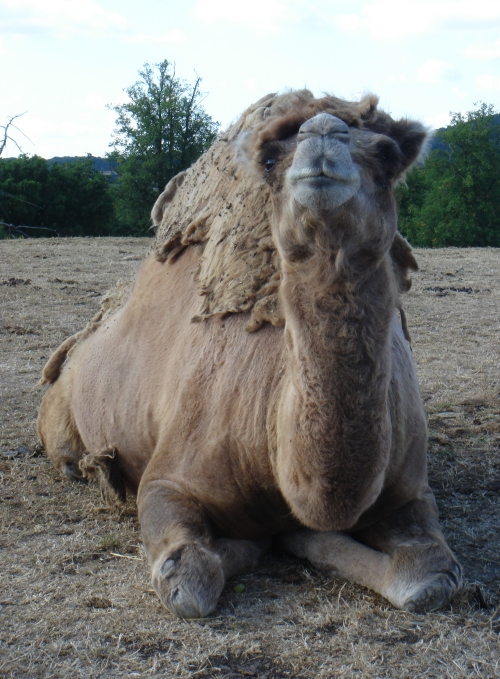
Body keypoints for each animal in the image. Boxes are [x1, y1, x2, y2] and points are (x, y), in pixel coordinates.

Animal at [38, 91, 460, 620]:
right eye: (271, 159)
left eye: (387, 156)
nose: (323, 132)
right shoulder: (166, 480)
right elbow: (189, 581)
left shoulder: (410, 491)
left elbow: (430, 579)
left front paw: (308, 540)